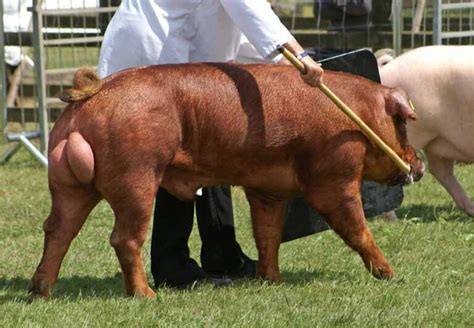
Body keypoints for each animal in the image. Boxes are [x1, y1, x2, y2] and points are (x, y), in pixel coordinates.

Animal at [28, 62, 422, 298]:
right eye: (403, 124)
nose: (419, 166)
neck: (359, 116)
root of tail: (93, 93)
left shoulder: (267, 189)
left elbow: (267, 234)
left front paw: (273, 280)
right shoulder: (333, 177)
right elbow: (356, 228)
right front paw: (390, 274)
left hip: (68, 185)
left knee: (57, 229)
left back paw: (41, 292)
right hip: (136, 173)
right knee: (124, 238)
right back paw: (147, 296)